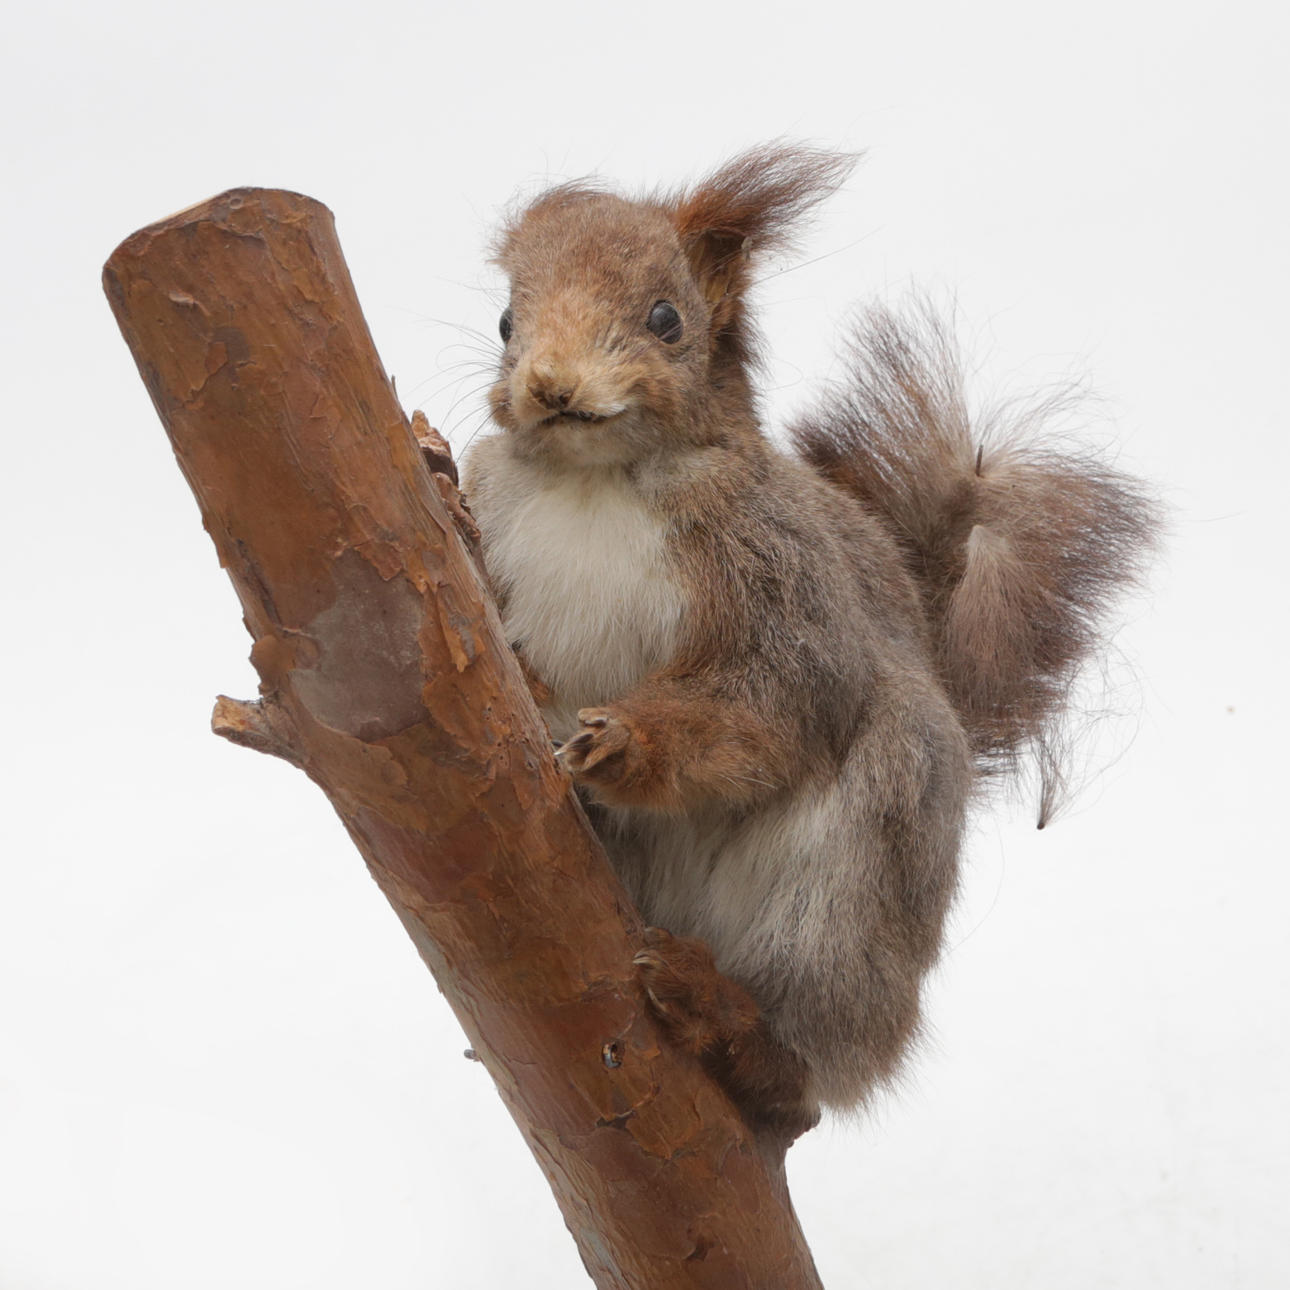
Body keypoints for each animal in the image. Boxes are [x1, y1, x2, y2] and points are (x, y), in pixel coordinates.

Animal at [457, 144, 1158, 1147]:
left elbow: (774, 699)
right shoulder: (496, 520)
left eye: (667, 318)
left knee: (810, 1062)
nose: (552, 386)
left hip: (857, 884)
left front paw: (630, 741)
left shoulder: (788, 585)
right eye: (506, 321)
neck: (597, 482)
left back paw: (735, 1031)